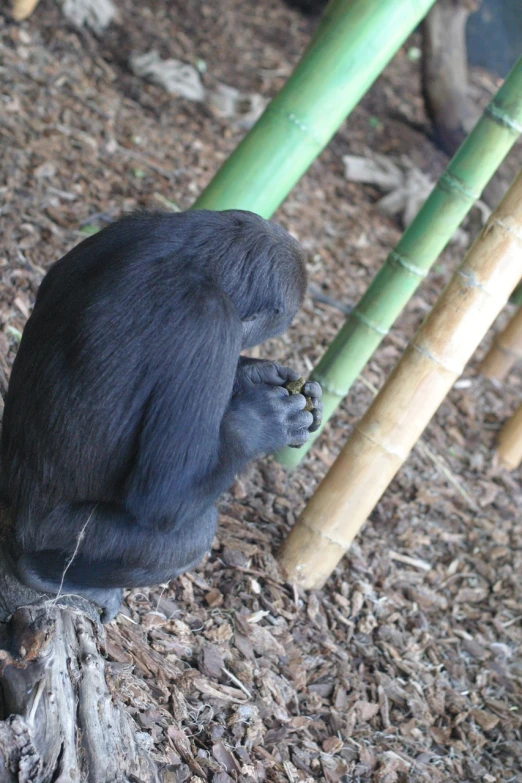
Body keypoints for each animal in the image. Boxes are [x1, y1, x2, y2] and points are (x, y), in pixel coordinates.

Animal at [2, 211, 320, 620]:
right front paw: (263, 422)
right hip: (54, 535)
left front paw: (257, 373)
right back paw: (45, 575)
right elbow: (165, 496)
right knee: (192, 534)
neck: (193, 257)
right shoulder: (210, 321)